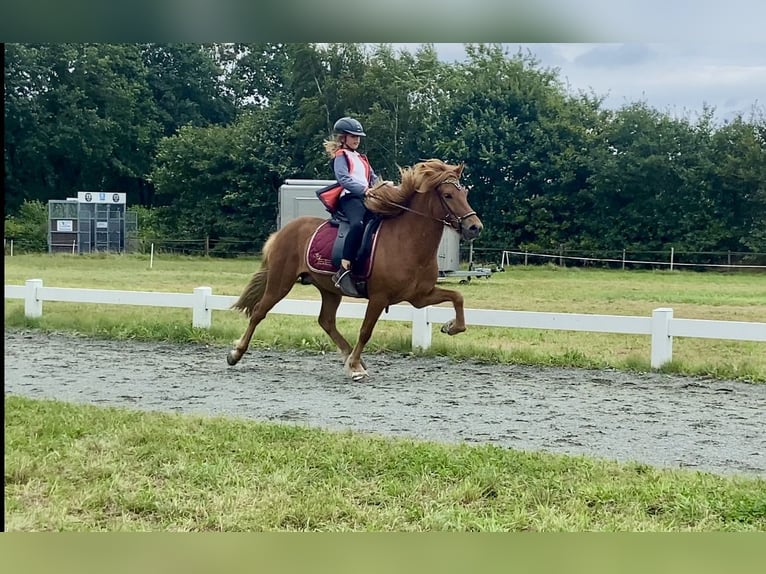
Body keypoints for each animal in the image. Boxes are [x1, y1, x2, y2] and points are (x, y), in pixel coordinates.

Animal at [225, 160, 484, 380]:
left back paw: (349, 356)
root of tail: (284, 231)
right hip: (281, 281)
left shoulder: (420, 297)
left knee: (326, 321)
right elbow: (365, 331)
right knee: (259, 312)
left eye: (465, 193)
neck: (407, 241)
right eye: (448, 195)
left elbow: (457, 297)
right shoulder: (379, 297)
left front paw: (451, 327)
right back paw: (236, 354)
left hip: (329, 289)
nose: (475, 227)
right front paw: (355, 367)